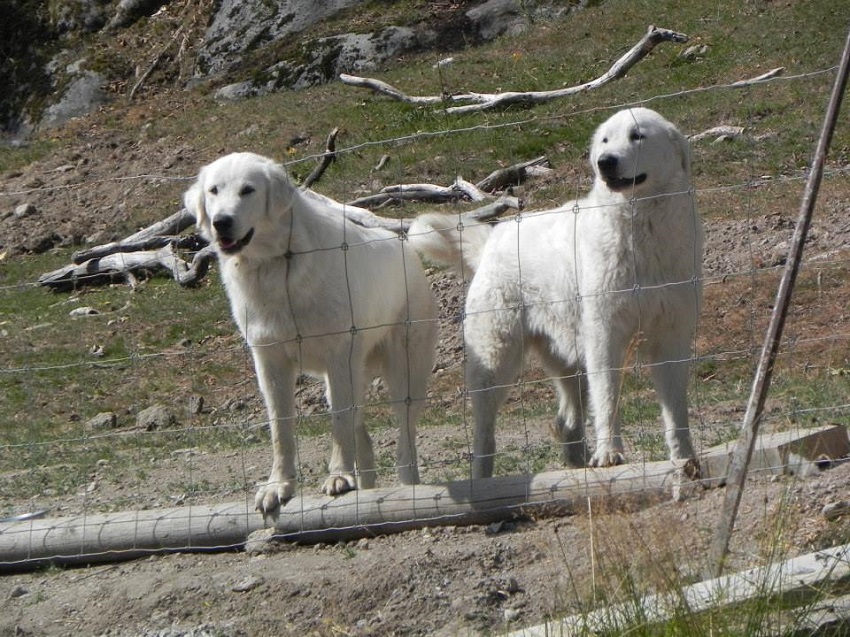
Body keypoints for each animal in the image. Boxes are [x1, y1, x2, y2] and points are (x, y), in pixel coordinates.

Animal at [184, 152, 438, 514]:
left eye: (248, 190)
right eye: (214, 190)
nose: (221, 221)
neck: (277, 263)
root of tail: (407, 249)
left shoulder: (339, 356)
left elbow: (339, 425)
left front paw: (339, 477)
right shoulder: (270, 362)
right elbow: (281, 431)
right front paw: (278, 486)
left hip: (404, 377)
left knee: (404, 443)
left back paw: (407, 488)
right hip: (345, 380)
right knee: (365, 440)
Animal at [409, 108, 703, 477]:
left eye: (637, 136)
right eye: (605, 140)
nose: (605, 162)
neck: (641, 227)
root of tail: (492, 239)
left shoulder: (671, 337)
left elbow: (676, 413)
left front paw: (684, 459)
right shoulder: (605, 336)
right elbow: (608, 399)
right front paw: (610, 454)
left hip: (569, 357)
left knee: (566, 424)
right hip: (495, 361)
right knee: (484, 435)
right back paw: (484, 477)